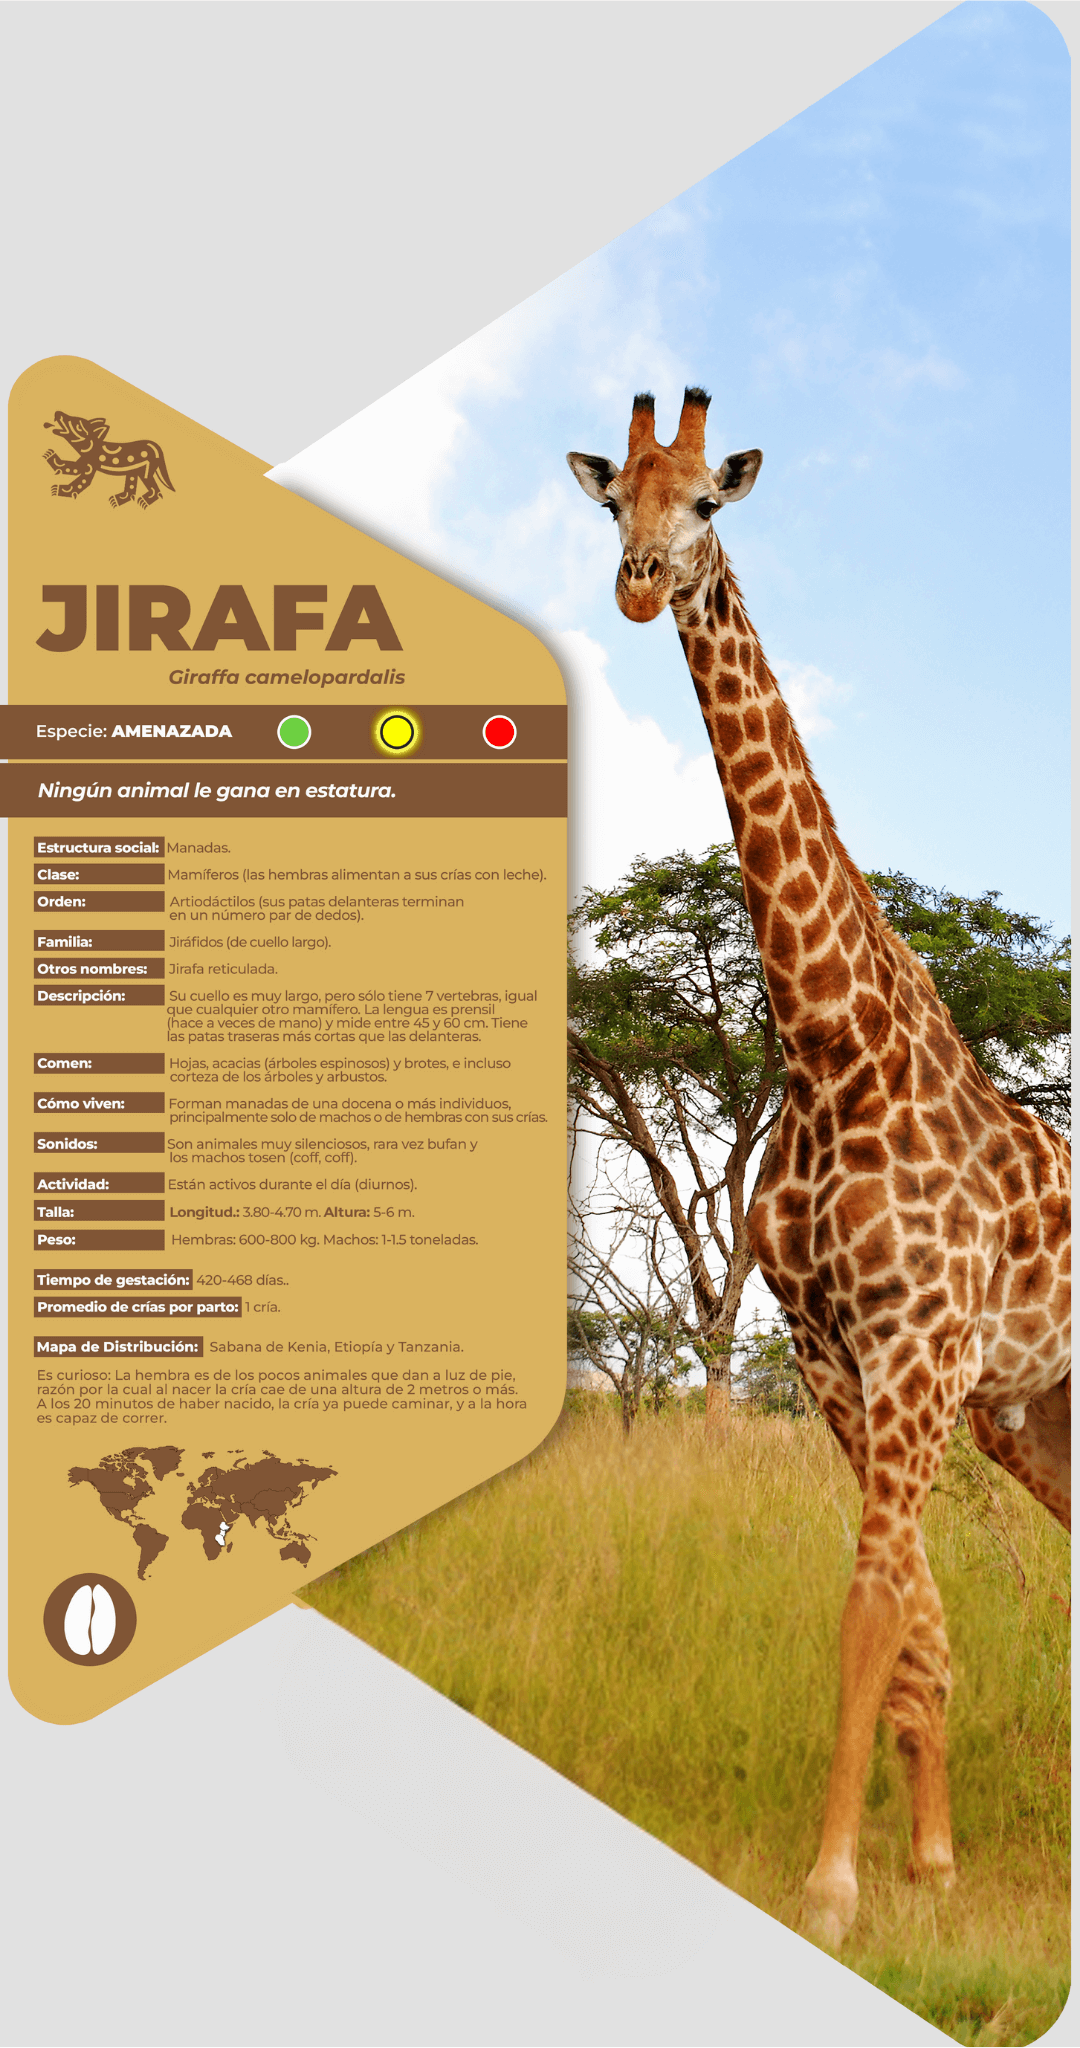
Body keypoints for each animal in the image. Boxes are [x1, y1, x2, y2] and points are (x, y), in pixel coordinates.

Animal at [567, 388, 1071, 1948]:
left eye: (707, 503)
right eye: (613, 499)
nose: (639, 586)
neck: (828, 1043)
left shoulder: (916, 1349)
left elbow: (871, 1603)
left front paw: (835, 1881)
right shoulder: (833, 1352)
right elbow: (915, 1612)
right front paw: (932, 1862)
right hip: (1034, 1412)